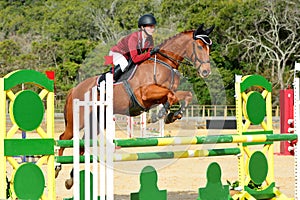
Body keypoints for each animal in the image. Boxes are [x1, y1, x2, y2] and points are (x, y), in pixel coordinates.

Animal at [55, 23, 213, 188]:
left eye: (209, 47)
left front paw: (173, 115)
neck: (165, 62)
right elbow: (171, 95)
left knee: (82, 145)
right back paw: (57, 167)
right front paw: (160, 115)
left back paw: (71, 179)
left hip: (98, 121)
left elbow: (185, 95)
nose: (206, 72)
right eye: (199, 46)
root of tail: (74, 89)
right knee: (63, 138)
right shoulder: (144, 94)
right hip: (77, 121)